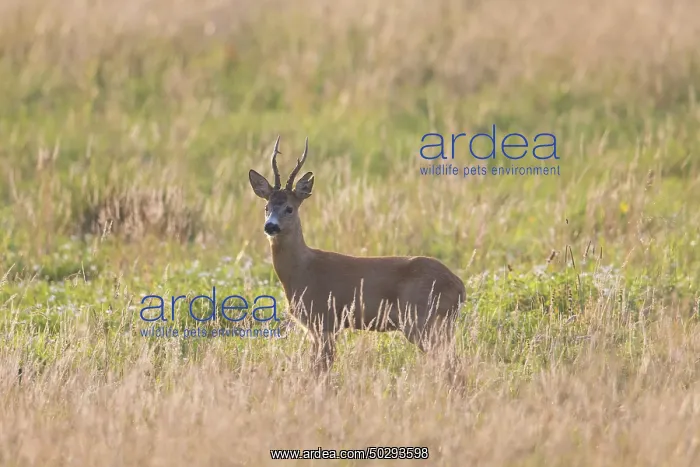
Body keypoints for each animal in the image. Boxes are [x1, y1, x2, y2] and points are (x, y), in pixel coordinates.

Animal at [248, 136, 466, 376]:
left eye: (289, 208)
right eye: (266, 207)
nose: (270, 226)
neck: (302, 271)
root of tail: (459, 286)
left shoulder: (325, 319)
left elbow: (321, 368)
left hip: (421, 319)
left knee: (451, 362)